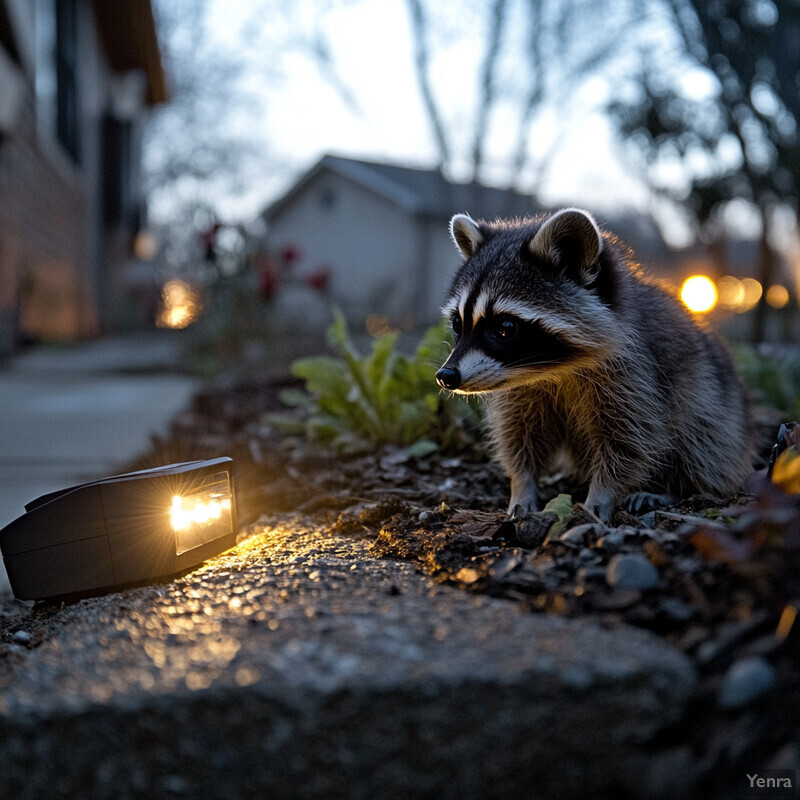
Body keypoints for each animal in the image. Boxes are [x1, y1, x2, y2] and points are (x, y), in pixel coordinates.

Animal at [434, 206, 752, 520]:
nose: (446, 376)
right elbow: (519, 436)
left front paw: (602, 493)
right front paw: (522, 484)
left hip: (712, 401)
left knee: (698, 440)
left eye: (505, 328)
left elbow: (631, 440)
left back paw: (673, 488)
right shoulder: (523, 391)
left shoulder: (636, 376)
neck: (552, 371)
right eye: (457, 323)